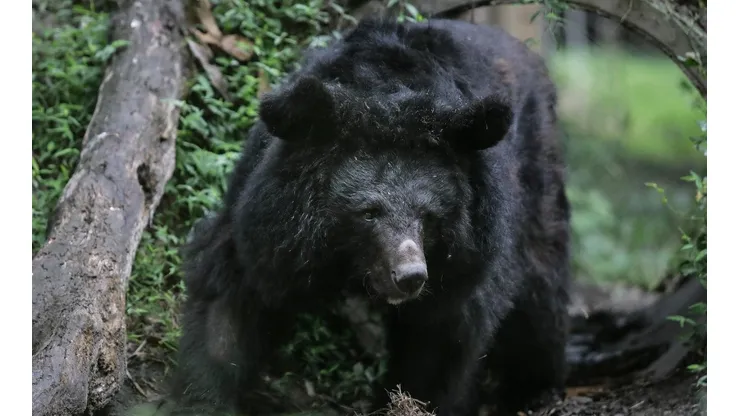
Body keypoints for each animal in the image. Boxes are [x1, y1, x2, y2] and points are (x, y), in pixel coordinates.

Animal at [168, 16, 571, 416]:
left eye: (428, 215)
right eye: (368, 213)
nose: (410, 276)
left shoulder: (466, 256)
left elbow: (444, 336)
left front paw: (411, 402)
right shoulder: (265, 218)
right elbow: (230, 302)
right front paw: (203, 395)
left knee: (539, 296)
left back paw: (531, 387)